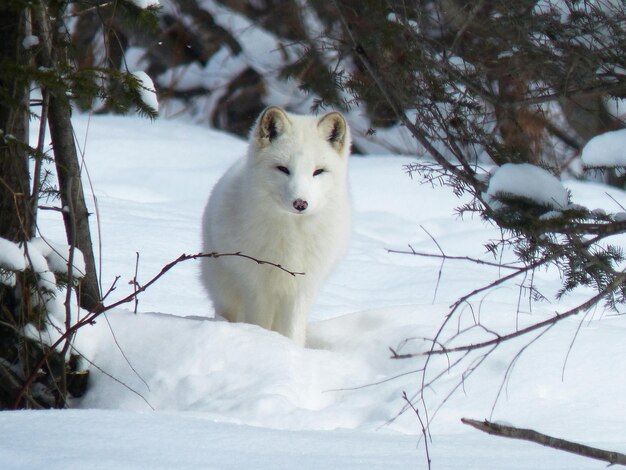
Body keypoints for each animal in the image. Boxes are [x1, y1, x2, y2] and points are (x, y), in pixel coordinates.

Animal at [202, 108, 354, 346]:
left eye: (318, 171)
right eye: (283, 169)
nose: (300, 203)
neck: (293, 237)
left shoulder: (301, 288)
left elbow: (292, 331)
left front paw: (290, 349)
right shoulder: (256, 285)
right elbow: (259, 322)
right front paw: (264, 343)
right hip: (225, 290)